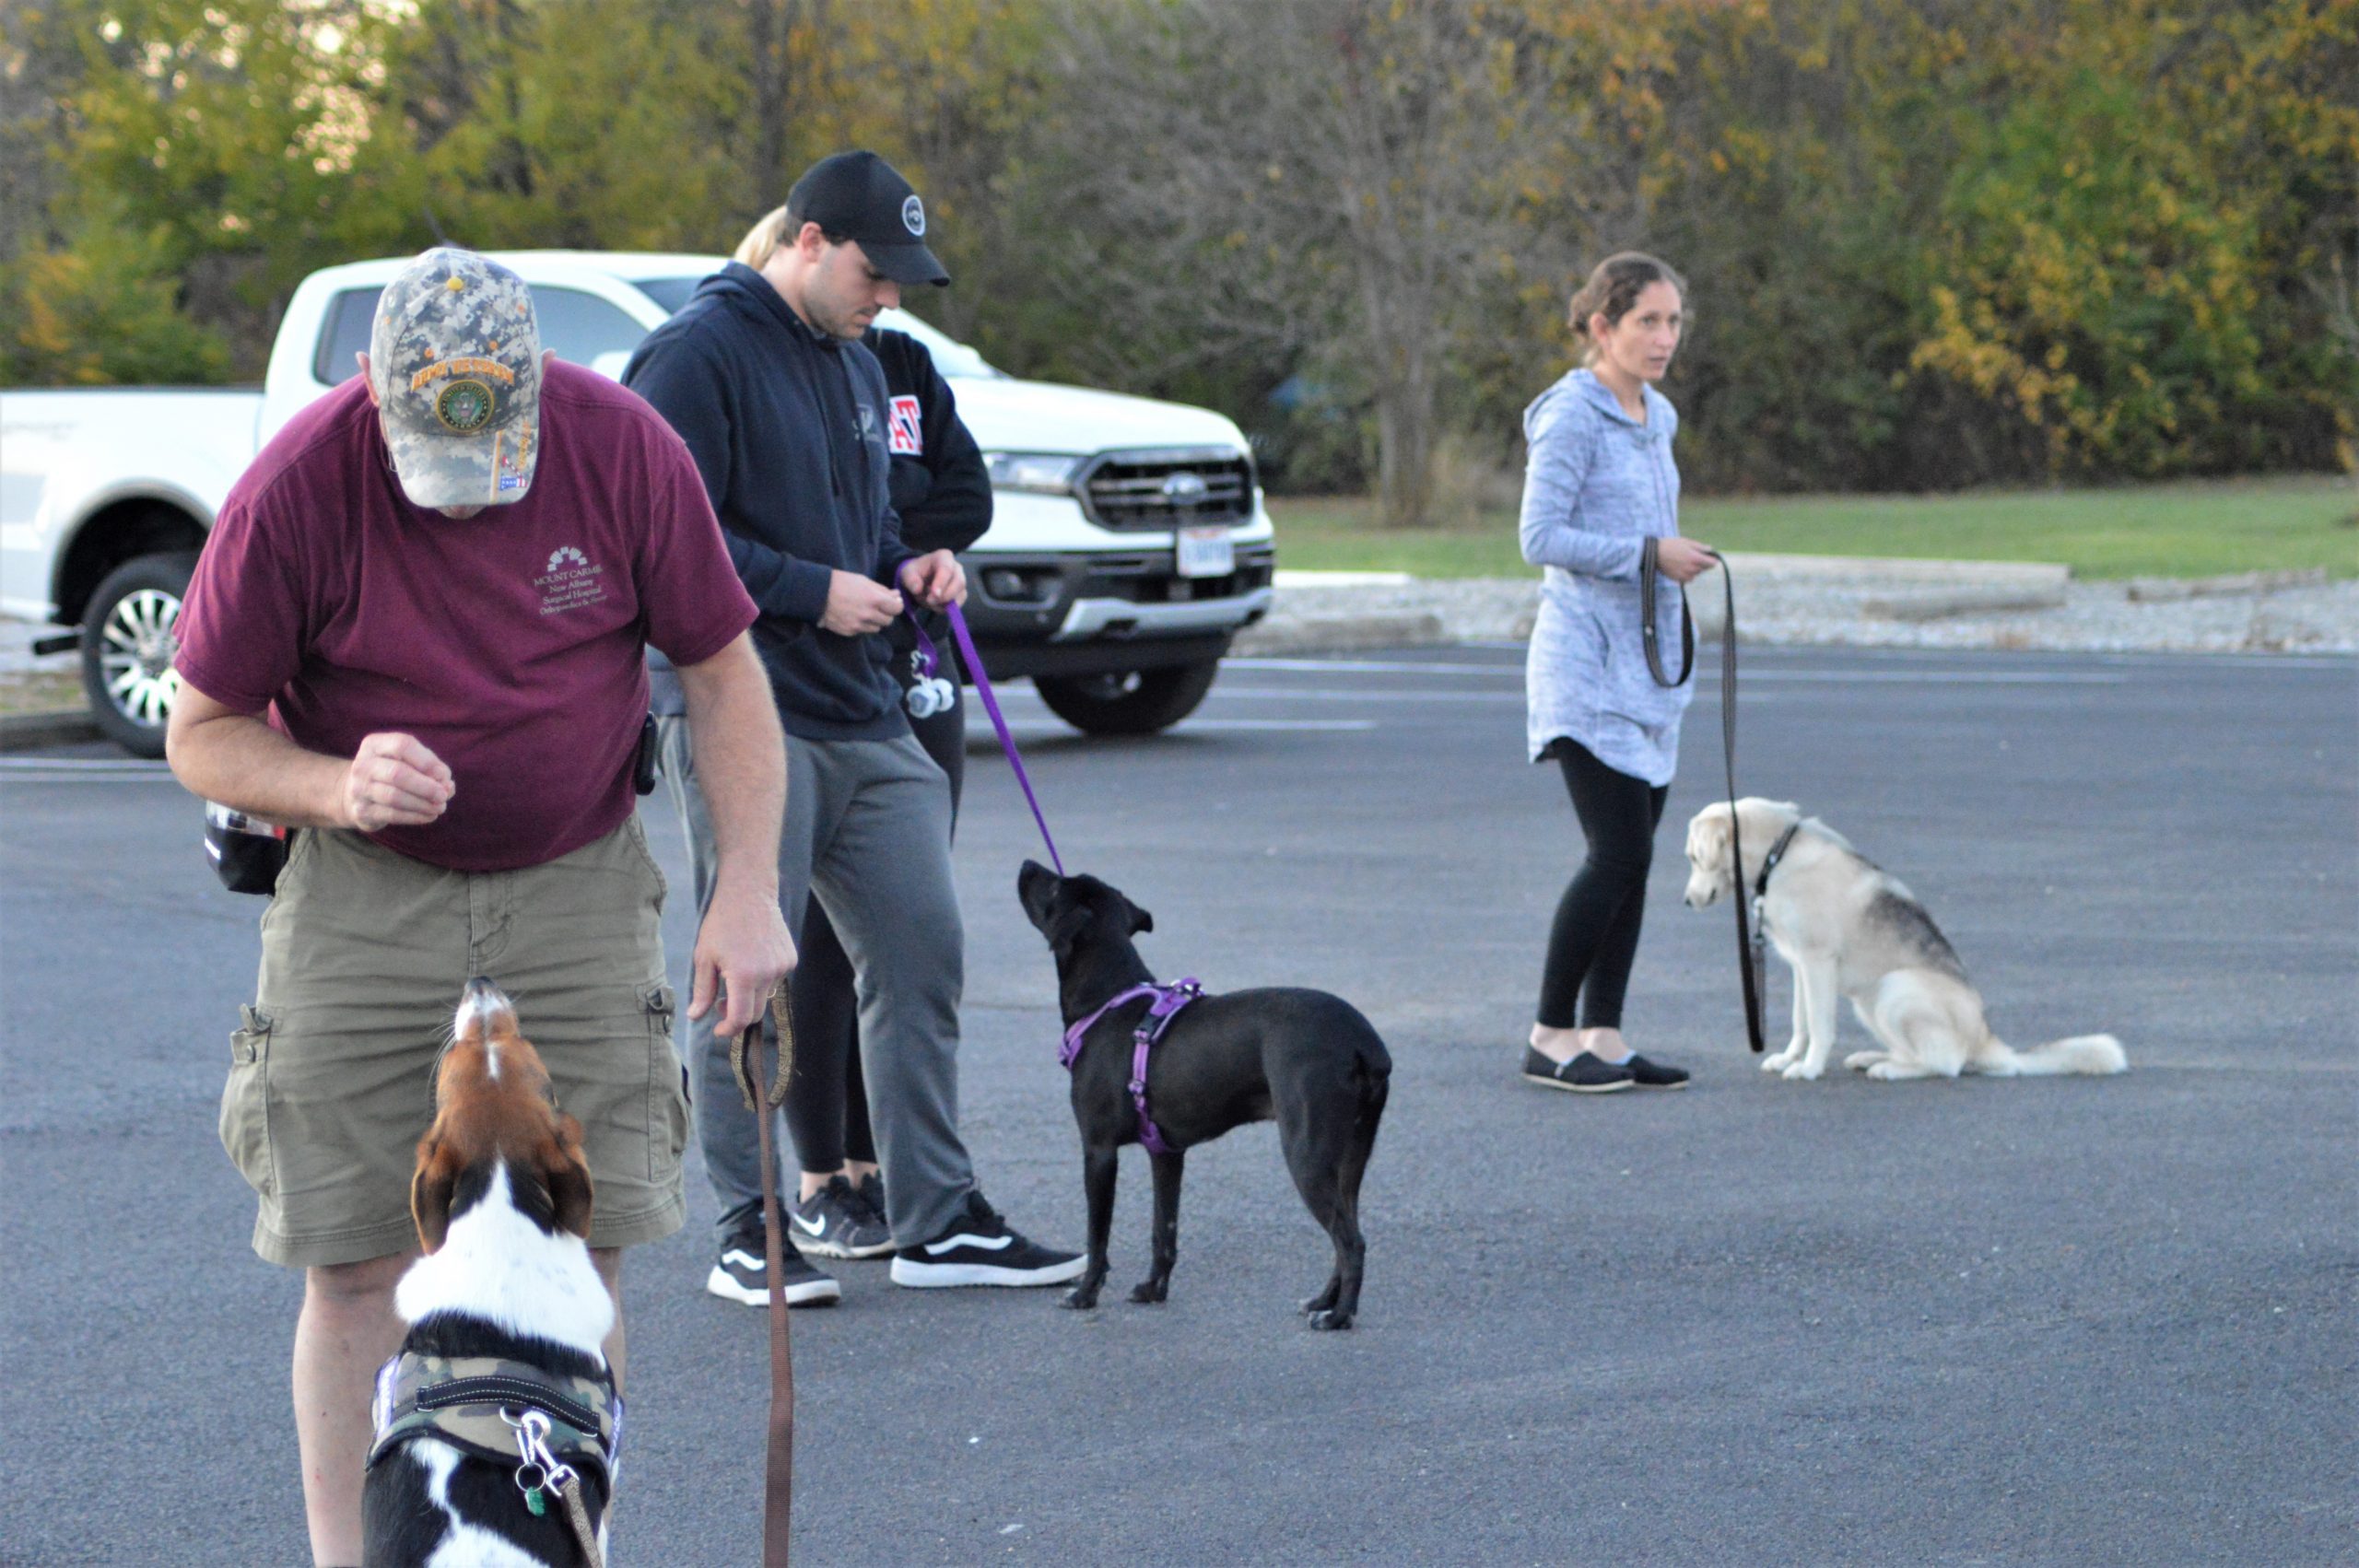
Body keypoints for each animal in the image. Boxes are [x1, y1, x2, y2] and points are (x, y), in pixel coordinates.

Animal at [1014, 862, 1378, 1329]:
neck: (1109, 1000)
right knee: (1345, 1231)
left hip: (1308, 1154)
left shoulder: (1098, 1150)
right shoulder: (1167, 1153)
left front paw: (1085, 1294)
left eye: (1056, 885)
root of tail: (1362, 1042)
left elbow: (1098, 1235)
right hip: (1351, 1156)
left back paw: (1340, 1316)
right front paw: (1153, 1290)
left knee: (1351, 1242)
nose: (1026, 865)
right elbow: (1163, 1230)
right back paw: (1323, 1302)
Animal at [1688, 802, 2132, 1084]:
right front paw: (1788, 1059)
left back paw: (1891, 1069)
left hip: (1895, 989)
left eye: (1693, 857)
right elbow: (1801, 1023)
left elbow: (1819, 1025)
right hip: (1869, 1002)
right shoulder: (1801, 966)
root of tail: (1988, 1042)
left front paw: (1809, 1069)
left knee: (1946, 1063)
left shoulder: (1817, 964)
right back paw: (1875, 1058)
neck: (1779, 854)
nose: (1687, 902)